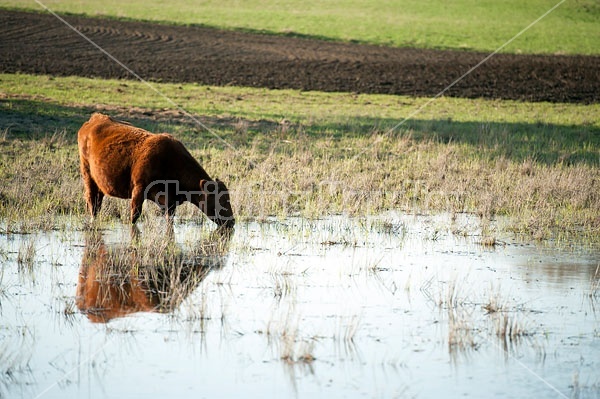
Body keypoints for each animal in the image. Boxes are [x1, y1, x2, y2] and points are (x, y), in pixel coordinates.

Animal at [79, 114, 237, 230]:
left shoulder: (170, 202)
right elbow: (134, 216)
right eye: (220, 199)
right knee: (92, 203)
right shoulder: (139, 190)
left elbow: (169, 221)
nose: (232, 221)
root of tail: (95, 118)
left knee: (97, 202)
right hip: (87, 175)